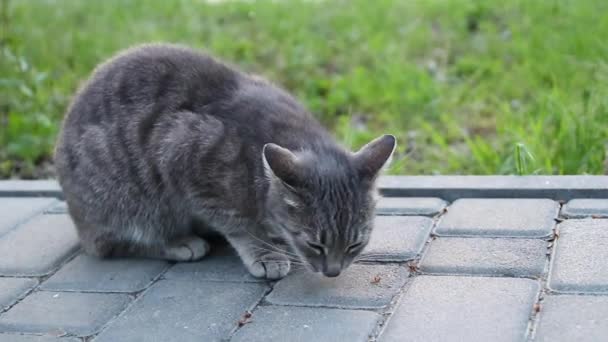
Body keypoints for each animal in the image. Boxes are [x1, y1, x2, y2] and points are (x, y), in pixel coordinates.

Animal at [54, 43, 396, 278]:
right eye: (315, 245)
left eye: (354, 245)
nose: (333, 272)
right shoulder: (185, 159)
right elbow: (240, 227)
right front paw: (265, 252)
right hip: (134, 202)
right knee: (114, 243)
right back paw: (178, 243)